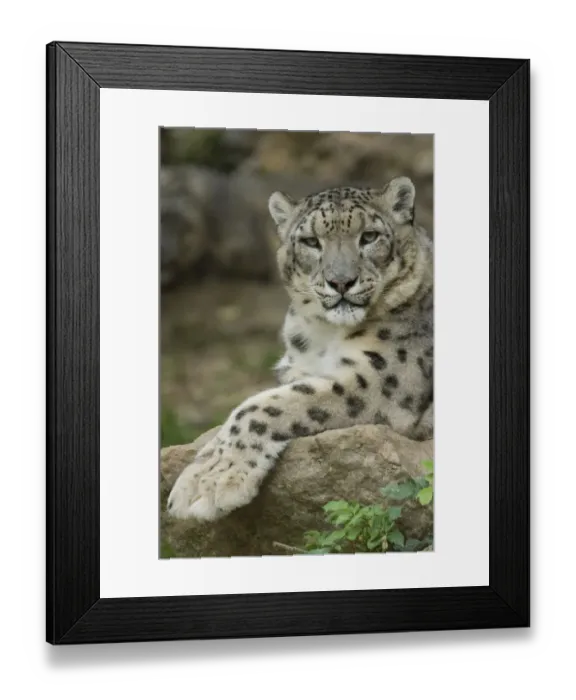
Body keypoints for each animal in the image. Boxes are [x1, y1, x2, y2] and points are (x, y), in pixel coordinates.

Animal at [167, 175, 433, 523]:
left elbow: (263, 405)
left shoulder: (382, 377)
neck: (323, 334)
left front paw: (206, 482)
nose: (341, 282)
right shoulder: (297, 368)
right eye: (310, 241)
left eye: (369, 236)